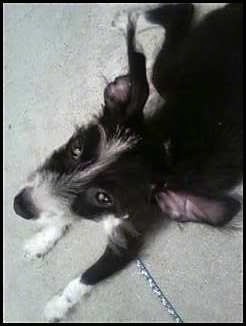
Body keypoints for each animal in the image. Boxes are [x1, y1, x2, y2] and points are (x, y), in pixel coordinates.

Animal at [13, 3, 242, 322]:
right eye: (76, 148)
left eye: (103, 197)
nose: (19, 206)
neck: (165, 145)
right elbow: (62, 216)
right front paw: (41, 241)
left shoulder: (129, 241)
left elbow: (88, 276)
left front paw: (57, 305)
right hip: (166, 76)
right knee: (176, 18)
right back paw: (126, 19)